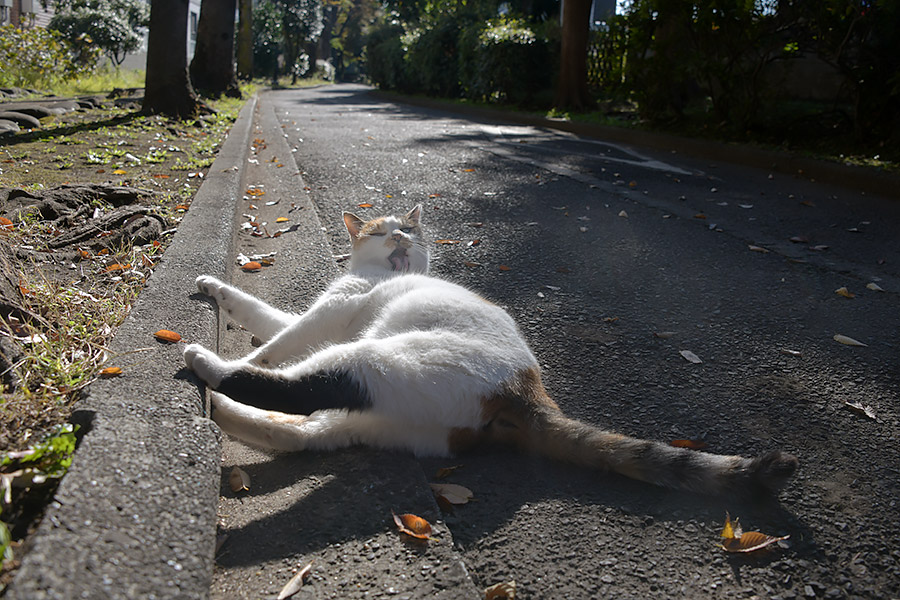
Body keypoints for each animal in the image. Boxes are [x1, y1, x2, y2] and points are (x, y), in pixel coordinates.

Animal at [181, 204, 796, 494]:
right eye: (382, 232)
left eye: (409, 231)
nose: (401, 238)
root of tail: (529, 391)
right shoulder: (325, 314)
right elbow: (257, 311)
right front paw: (212, 287)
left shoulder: (328, 316)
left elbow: (278, 342)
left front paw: (247, 352)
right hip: (389, 418)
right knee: (302, 434)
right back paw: (225, 413)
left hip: (374, 359)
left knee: (299, 389)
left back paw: (210, 367)